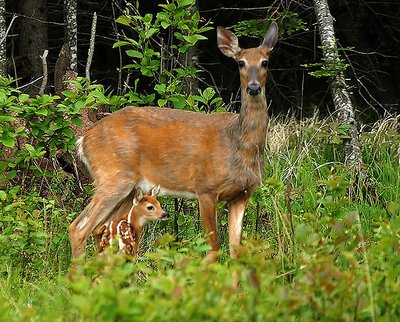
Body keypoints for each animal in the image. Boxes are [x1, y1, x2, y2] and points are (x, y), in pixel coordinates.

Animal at [70, 22, 278, 262]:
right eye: (241, 62)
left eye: (265, 62)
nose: (253, 88)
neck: (239, 145)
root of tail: (83, 140)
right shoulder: (206, 188)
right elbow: (214, 248)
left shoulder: (241, 195)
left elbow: (236, 249)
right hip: (113, 177)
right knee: (79, 227)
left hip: (129, 189)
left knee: (101, 228)